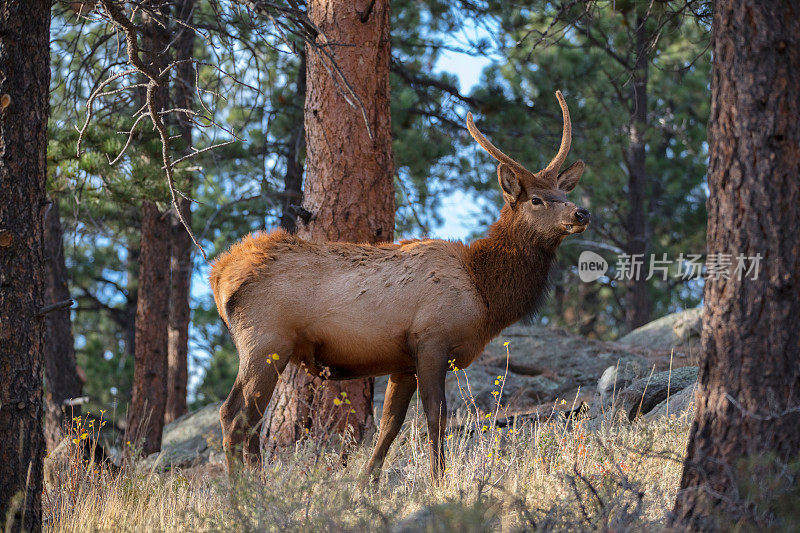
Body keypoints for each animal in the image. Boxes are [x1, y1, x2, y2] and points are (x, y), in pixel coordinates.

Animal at [209, 89, 592, 480]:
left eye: (563, 193)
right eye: (536, 199)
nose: (581, 212)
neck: (484, 294)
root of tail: (219, 275)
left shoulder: (402, 361)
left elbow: (389, 426)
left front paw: (365, 485)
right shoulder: (431, 340)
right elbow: (435, 418)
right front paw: (439, 480)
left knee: (244, 418)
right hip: (266, 340)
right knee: (236, 416)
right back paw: (246, 489)